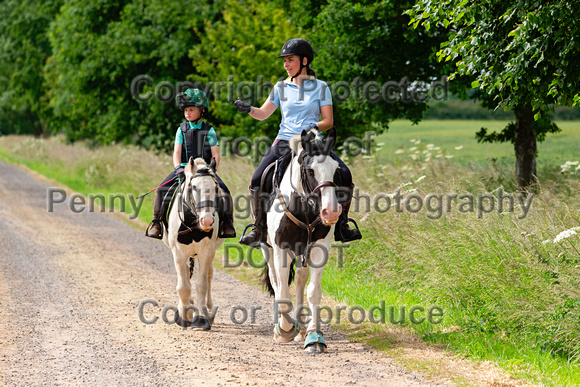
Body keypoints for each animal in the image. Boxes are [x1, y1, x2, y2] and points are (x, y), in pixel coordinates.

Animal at [262, 129, 342, 354]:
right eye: (310, 170)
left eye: (335, 169)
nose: (331, 212)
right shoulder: (281, 248)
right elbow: (281, 290)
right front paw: (284, 329)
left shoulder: (319, 248)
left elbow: (313, 291)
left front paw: (314, 338)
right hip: (267, 248)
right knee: (275, 279)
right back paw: (283, 327)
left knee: (299, 279)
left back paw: (301, 329)